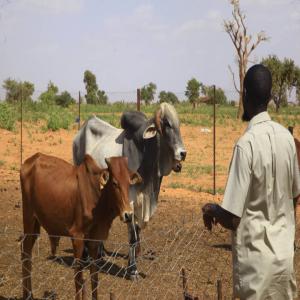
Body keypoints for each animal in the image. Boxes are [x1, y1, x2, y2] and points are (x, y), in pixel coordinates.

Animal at [20, 154, 142, 300]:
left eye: (129, 184)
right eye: (114, 183)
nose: (128, 215)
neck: (97, 197)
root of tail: (30, 160)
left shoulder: (94, 240)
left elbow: (94, 276)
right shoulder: (77, 237)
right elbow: (79, 278)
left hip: (35, 225)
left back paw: (30, 294)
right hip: (28, 217)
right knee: (25, 253)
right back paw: (27, 294)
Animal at [72, 102, 185, 276]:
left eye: (178, 124)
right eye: (166, 124)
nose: (183, 153)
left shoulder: (141, 202)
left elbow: (137, 233)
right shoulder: (130, 202)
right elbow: (132, 237)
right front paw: (132, 270)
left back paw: (100, 252)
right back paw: (85, 256)